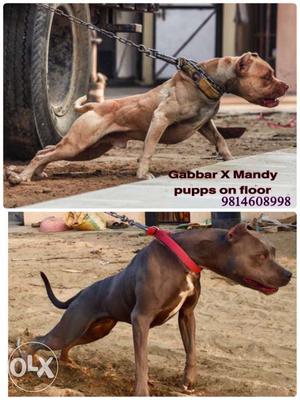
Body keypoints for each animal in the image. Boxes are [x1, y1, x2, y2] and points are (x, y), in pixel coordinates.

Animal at [7, 51, 288, 184]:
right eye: (267, 76)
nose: (285, 86)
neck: (206, 81)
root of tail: (94, 107)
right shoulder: (160, 119)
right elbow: (148, 149)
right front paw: (143, 174)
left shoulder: (205, 123)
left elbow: (220, 139)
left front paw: (229, 160)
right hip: (79, 144)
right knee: (44, 153)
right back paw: (21, 177)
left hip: (86, 149)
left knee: (47, 150)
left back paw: (36, 173)